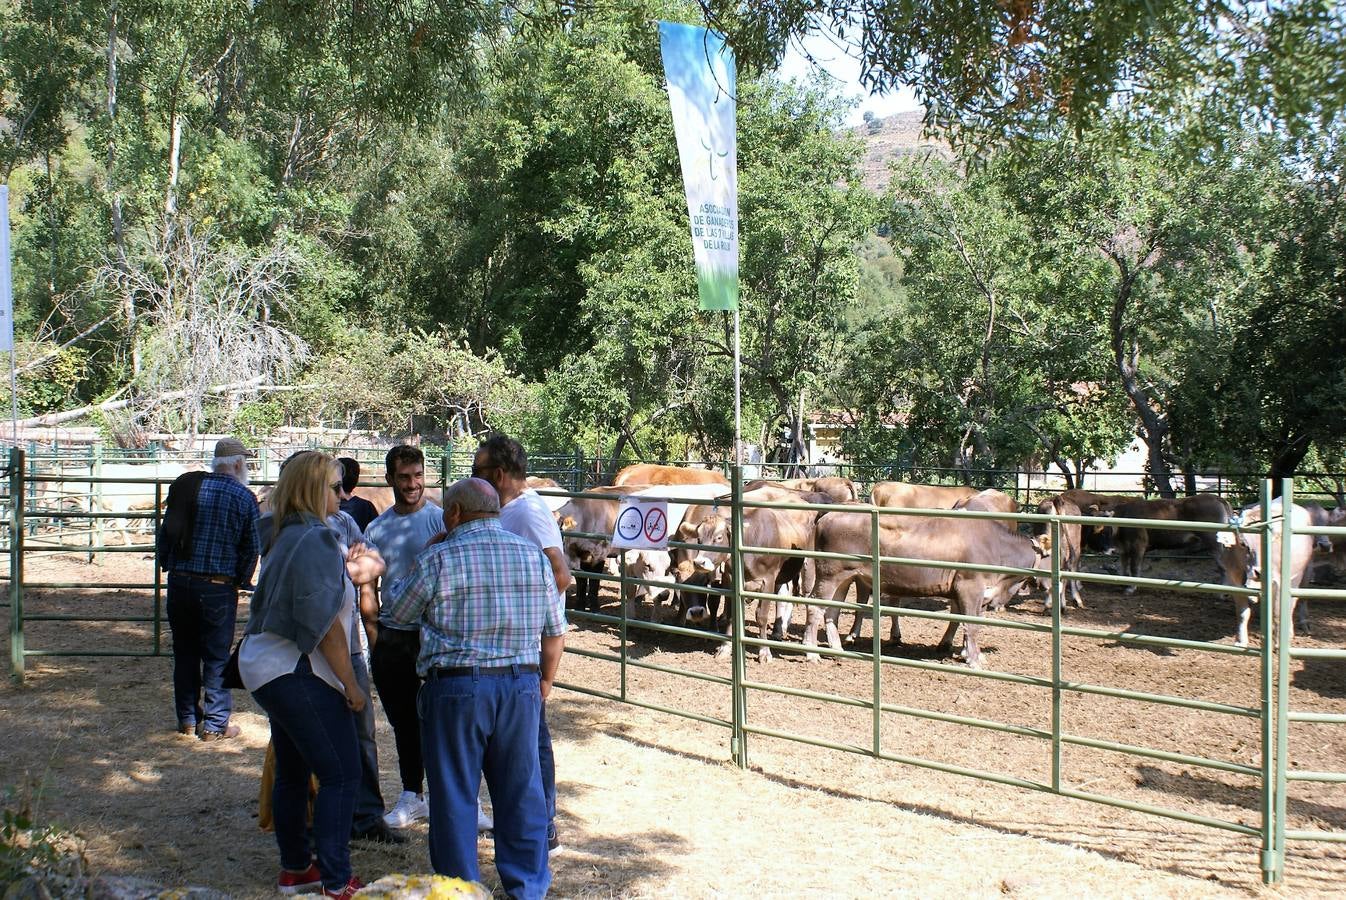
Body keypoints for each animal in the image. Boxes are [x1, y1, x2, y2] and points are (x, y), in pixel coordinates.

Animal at [802, 511, 1044, 667]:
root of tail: (828, 516)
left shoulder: (979, 593)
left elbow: (967, 622)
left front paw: (971, 654)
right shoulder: (970, 586)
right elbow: (971, 625)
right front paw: (974, 661)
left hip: (845, 578)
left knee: (831, 611)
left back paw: (837, 651)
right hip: (830, 575)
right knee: (815, 608)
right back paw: (812, 654)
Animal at [1222, 503, 1313, 643]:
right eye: (1243, 543)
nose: (1259, 572)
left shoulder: (1278, 582)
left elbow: (1277, 614)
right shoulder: (1234, 581)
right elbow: (1242, 613)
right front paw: (1241, 640)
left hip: (1302, 573)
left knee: (1295, 602)